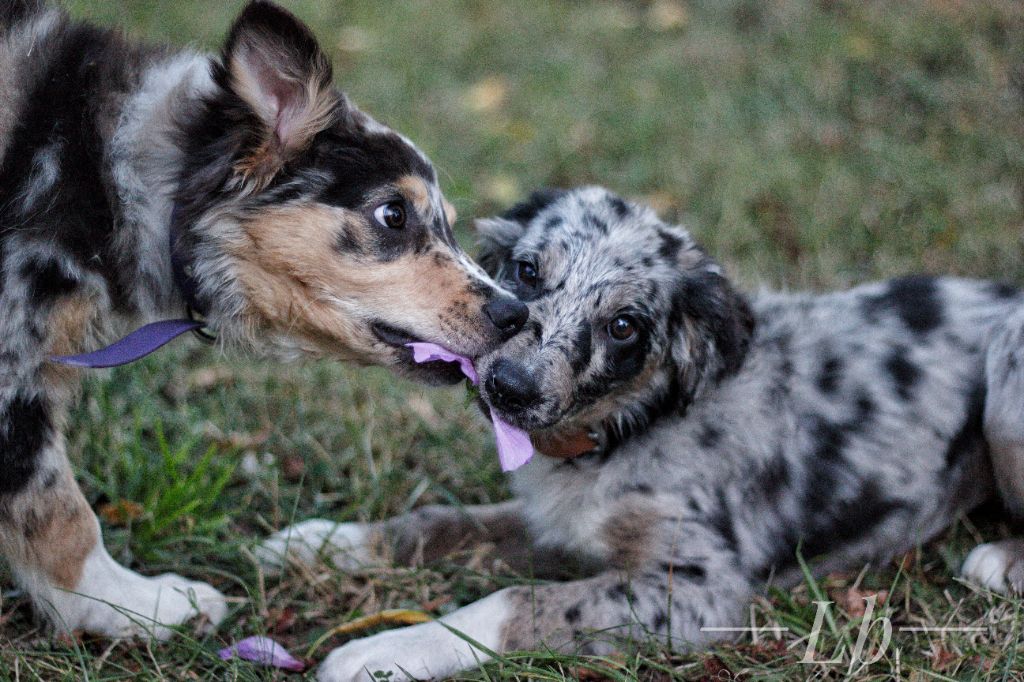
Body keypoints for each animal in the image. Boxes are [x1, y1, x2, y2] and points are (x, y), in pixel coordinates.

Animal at [2, 0, 528, 638]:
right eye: (393, 214)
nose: (516, 312)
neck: (110, 175)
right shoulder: (14, 368)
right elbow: (58, 509)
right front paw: (132, 606)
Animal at [260, 186, 1024, 679]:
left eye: (623, 326)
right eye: (527, 270)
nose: (508, 388)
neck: (622, 429)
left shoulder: (700, 589)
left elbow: (520, 602)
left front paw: (386, 651)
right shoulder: (560, 520)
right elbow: (443, 521)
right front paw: (329, 543)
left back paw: (1001, 560)